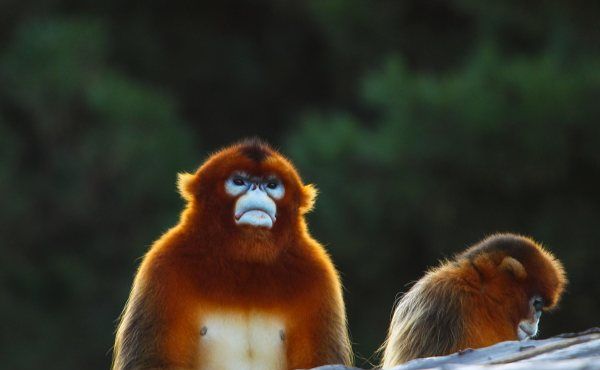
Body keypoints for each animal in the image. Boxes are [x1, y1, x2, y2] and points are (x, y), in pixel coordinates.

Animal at [112, 139, 352, 370]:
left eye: (271, 185)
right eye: (239, 181)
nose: (257, 189)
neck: (245, 261)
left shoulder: (317, 271)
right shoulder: (163, 263)